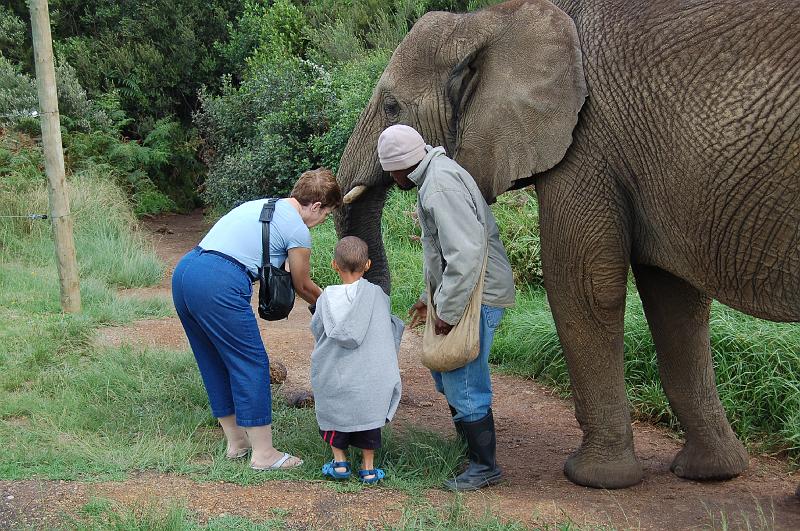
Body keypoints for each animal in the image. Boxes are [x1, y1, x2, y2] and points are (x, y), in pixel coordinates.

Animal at [334, 0, 800, 489]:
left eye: (391, 106)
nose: (405, 318)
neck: (494, 19)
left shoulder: (586, 139)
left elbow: (582, 286)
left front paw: (596, 479)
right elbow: (674, 299)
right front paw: (711, 473)